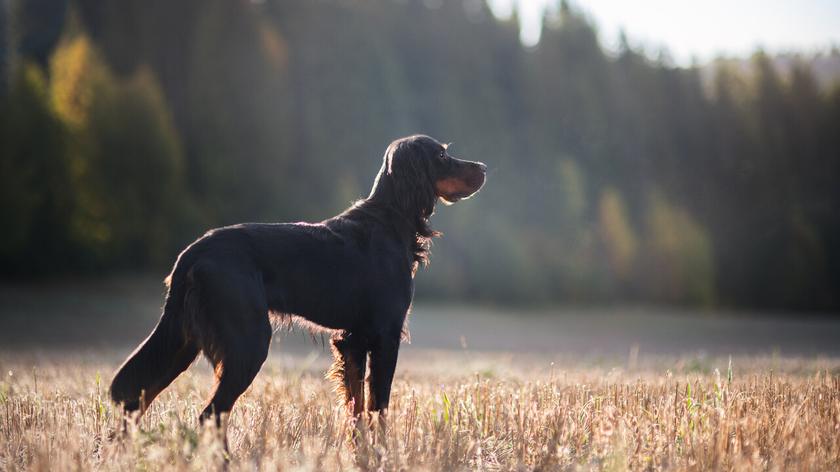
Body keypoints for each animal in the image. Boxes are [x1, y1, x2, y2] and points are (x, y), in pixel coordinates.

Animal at [108, 135, 486, 430]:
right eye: (442, 156)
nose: (483, 167)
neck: (391, 219)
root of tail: (193, 251)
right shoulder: (385, 336)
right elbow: (378, 408)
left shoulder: (352, 340)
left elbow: (358, 411)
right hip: (247, 343)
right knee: (209, 416)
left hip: (182, 343)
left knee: (136, 401)